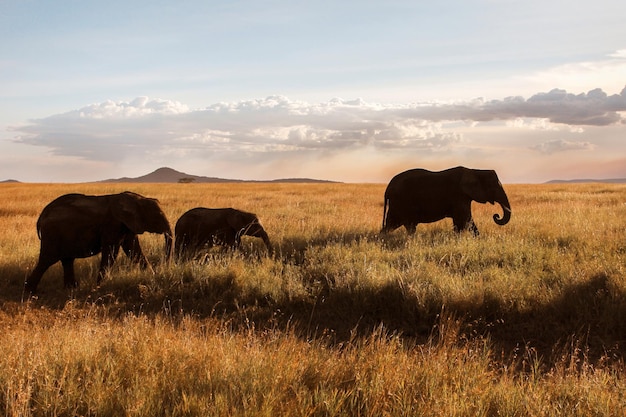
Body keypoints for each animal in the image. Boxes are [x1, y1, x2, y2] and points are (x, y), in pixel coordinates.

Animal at [24, 190, 172, 290]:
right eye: (158, 216)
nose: (163, 267)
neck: (138, 199)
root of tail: (42, 215)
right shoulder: (113, 224)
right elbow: (111, 252)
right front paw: (99, 287)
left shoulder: (127, 225)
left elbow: (134, 250)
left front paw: (152, 277)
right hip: (52, 234)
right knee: (47, 260)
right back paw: (30, 292)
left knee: (67, 260)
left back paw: (71, 289)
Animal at [380, 167, 508, 237]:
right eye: (494, 188)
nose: (496, 216)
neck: (475, 171)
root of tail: (388, 188)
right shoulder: (459, 197)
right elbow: (465, 220)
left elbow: (464, 221)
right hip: (399, 203)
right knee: (394, 224)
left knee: (399, 226)